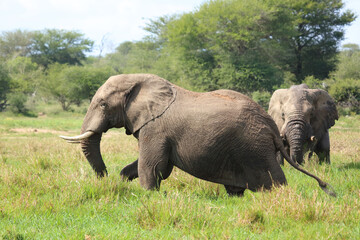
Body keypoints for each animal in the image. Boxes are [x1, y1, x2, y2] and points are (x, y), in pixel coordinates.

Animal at [59, 73, 338, 197]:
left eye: (103, 104)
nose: (104, 179)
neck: (139, 81)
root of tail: (270, 126)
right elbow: (155, 165)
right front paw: (124, 177)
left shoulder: (155, 128)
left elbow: (153, 165)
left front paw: (148, 196)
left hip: (253, 147)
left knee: (273, 180)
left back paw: (278, 197)